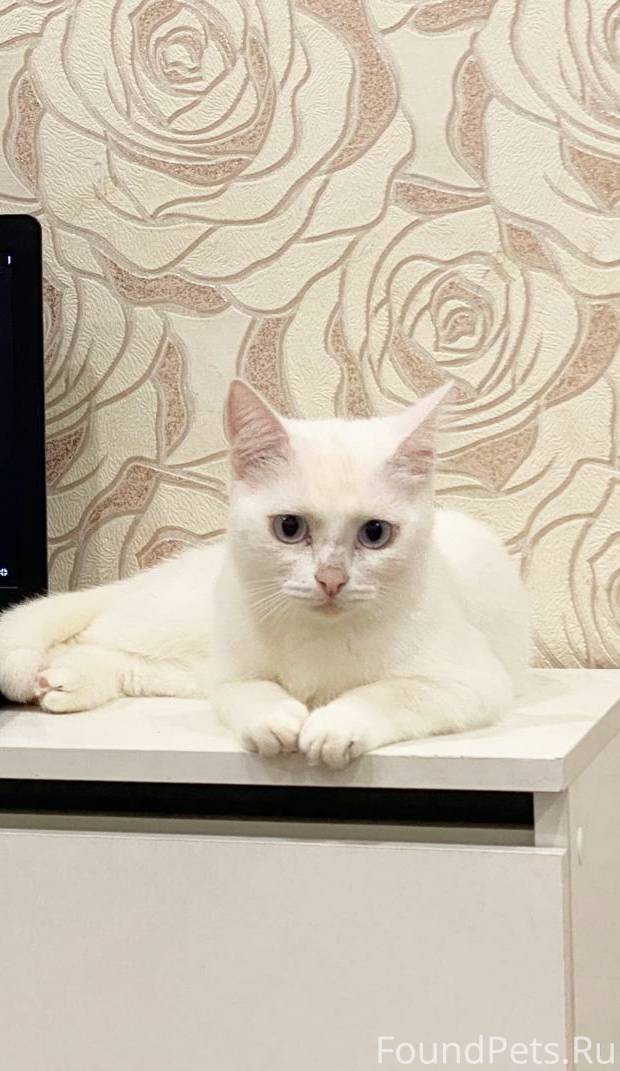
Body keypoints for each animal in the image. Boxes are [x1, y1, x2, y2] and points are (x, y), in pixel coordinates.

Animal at [0, 379, 530, 768]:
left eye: (375, 533)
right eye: (290, 527)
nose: (331, 579)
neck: (317, 638)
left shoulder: (473, 682)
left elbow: (392, 692)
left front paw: (335, 725)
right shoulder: (233, 672)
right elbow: (247, 690)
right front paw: (274, 721)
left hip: (183, 663)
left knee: (108, 650)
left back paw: (64, 681)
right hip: (186, 627)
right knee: (96, 630)